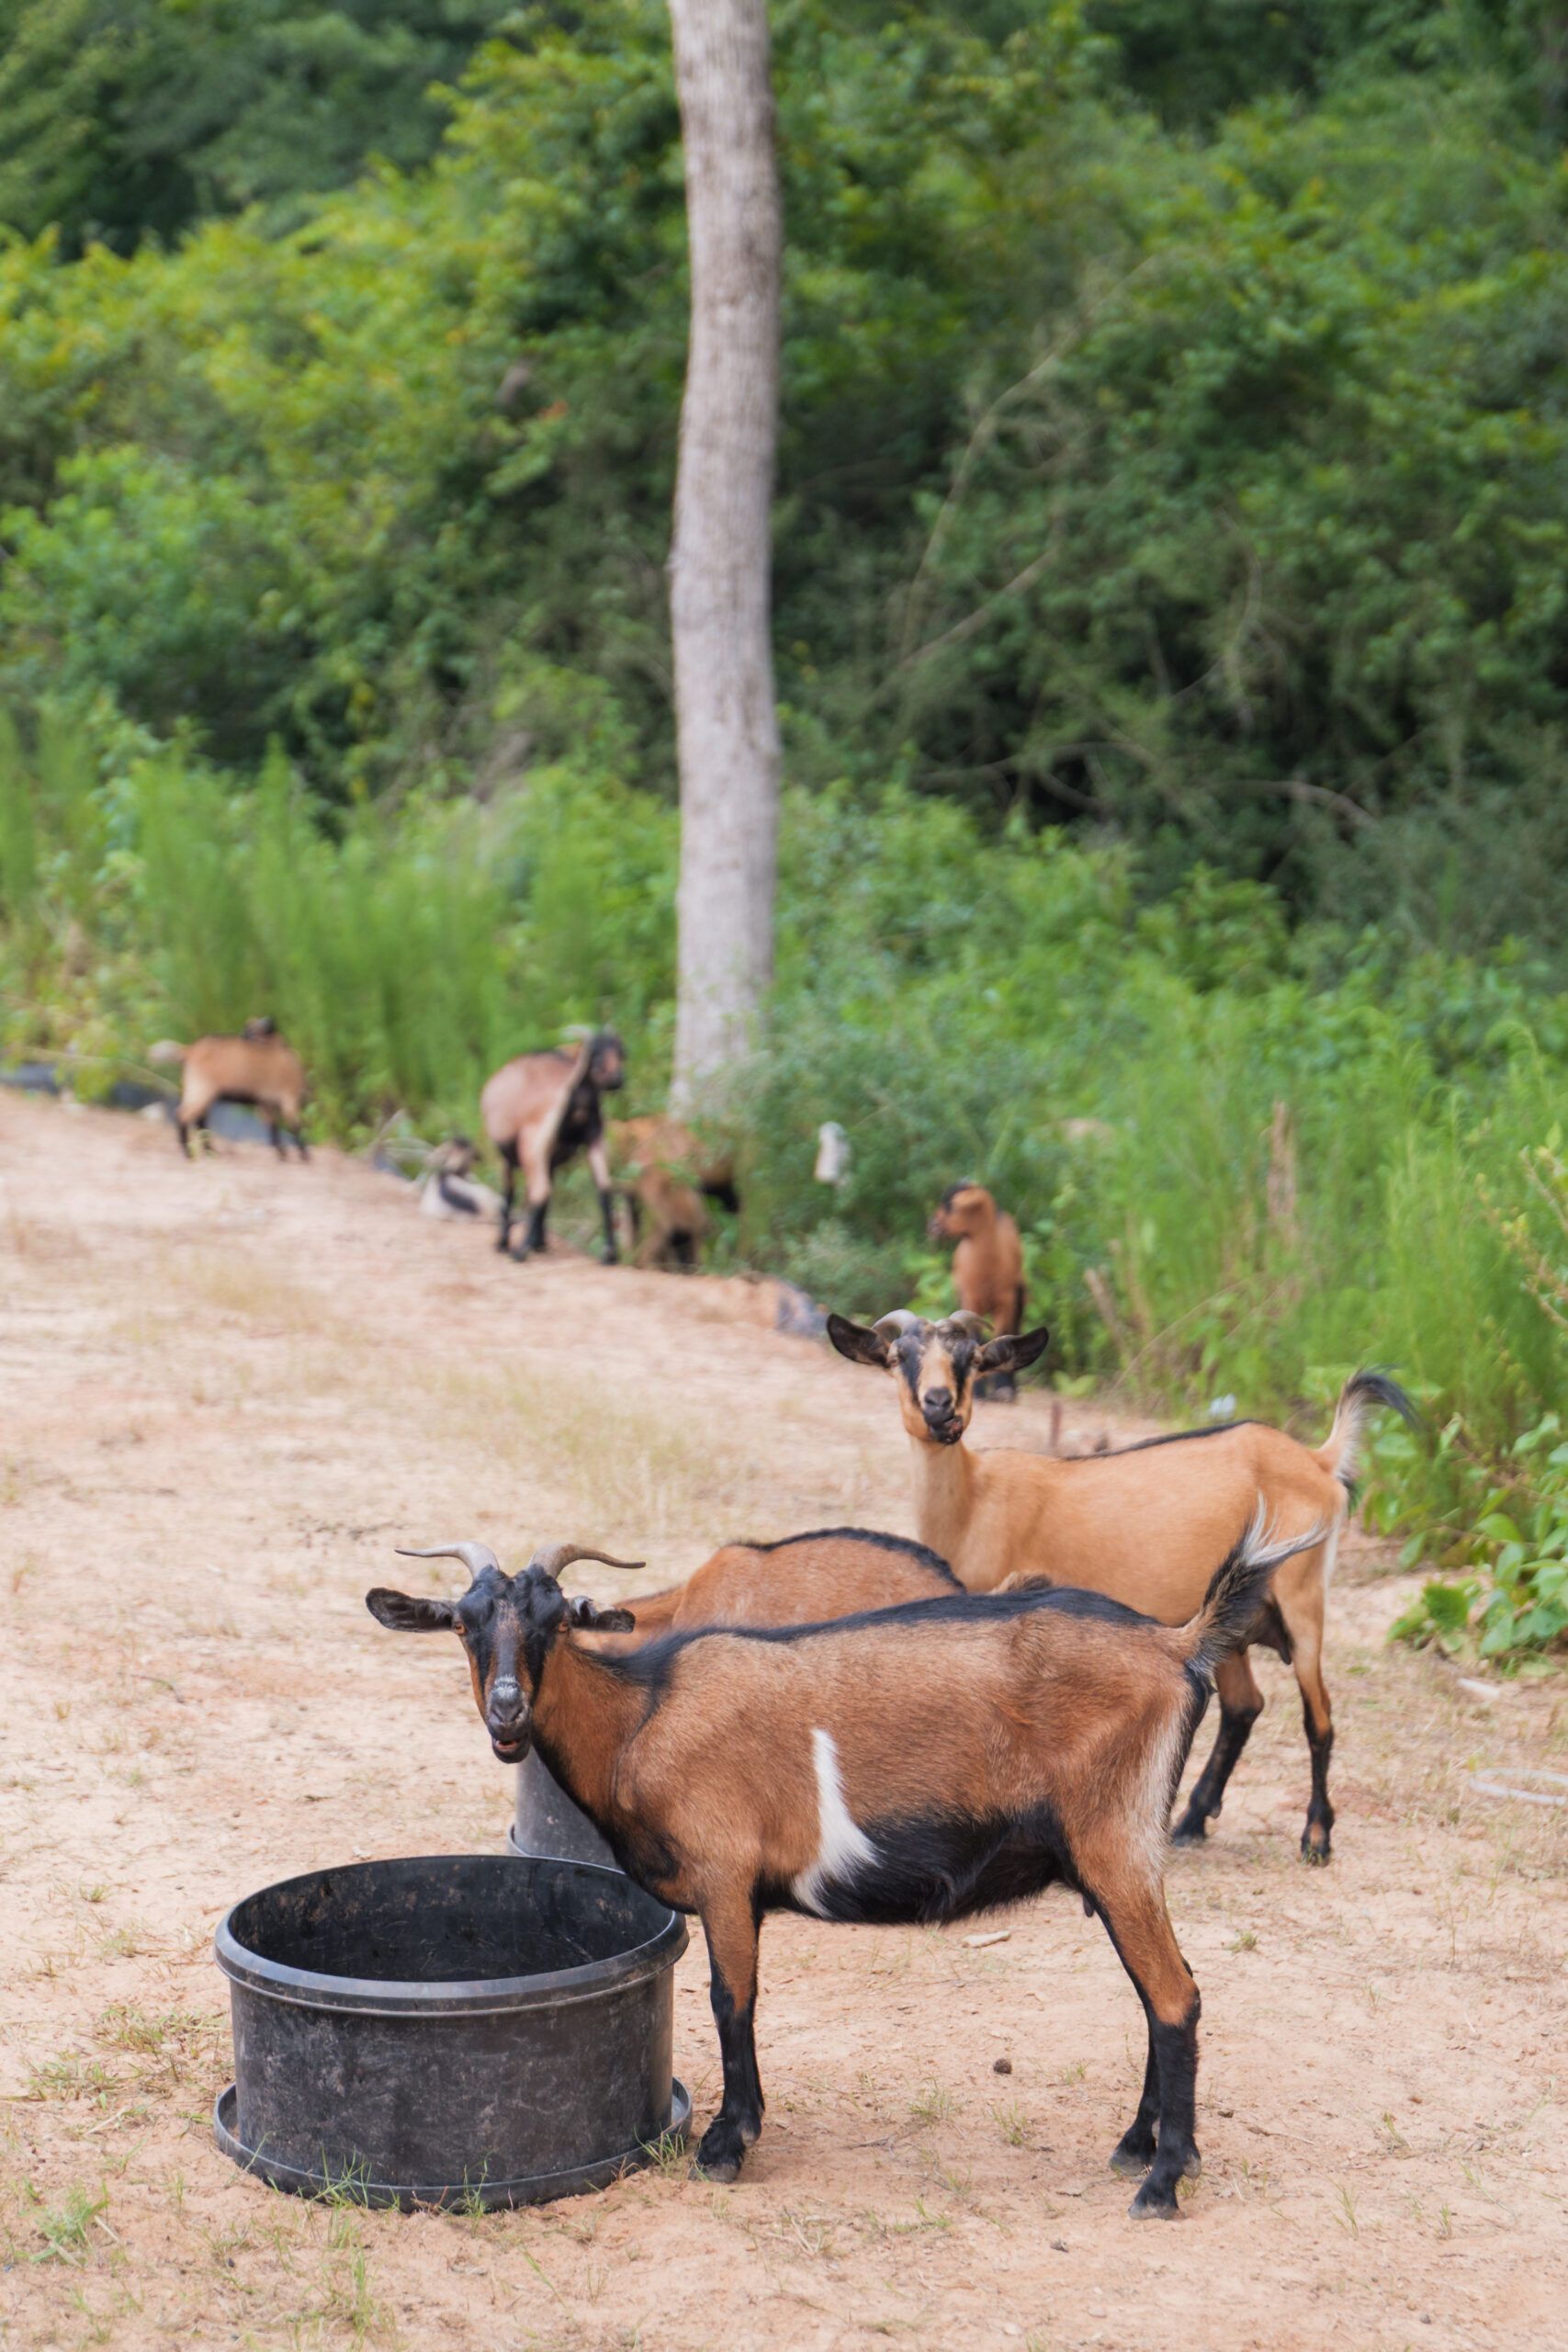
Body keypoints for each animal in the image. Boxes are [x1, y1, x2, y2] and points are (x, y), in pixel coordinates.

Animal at [148, 1018, 309, 1161]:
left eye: (251, 1032)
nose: (242, 1038)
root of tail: (190, 1050)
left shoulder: (267, 1103)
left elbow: (273, 1127)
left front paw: (282, 1154)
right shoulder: (288, 1099)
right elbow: (296, 1126)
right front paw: (304, 1156)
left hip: (199, 1092)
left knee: (200, 1120)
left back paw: (209, 1152)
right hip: (201, 1090)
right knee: (182, 1115)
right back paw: (188, 1153)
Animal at [368, 1515, 1321, 2217]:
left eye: (556, 1617)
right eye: (462, 1623)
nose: (507, 1711)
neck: (642, 1713)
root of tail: (1176, 1644)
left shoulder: (724, 1875)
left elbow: (731, 2001)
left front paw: (728, 2143)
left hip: (1115, 1843)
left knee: (1175, 1997)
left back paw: (1163, 2180)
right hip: (1116, 1859)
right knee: (1161, 1996)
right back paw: (1134, 2149)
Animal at [480, 1030, 625, 1263]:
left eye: (621, 1054)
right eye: (597, 1055)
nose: (617, 1079)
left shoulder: (509, 1158)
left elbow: (509, 1195)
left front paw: (503, 1243)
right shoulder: (552, 1156)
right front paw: (540, 1243)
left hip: (531, 1144)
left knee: (540, 1191)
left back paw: (519, 1251)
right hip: (594, 1141)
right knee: (604, 1188)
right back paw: (609, 1254)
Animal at [827, 1308, 1418, 1863]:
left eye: (971, 1360)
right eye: (899, 1357)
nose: (939, 1407)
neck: (976, 1499)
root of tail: (1318, 1459)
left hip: (1302, 1599)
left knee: (1319, 1717)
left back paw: (1316, 1838)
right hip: (1233, 1617)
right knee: (1244, 1706)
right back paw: (1191, 1823)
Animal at [928, 1181, 1026, 1399]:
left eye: (950, 1206)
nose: (932, 1226)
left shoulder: (1006, 1302)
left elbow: (1003, 1337)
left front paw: (1004, 1389)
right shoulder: (971, 1300)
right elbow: (974, 1338)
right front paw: (978, 1391)